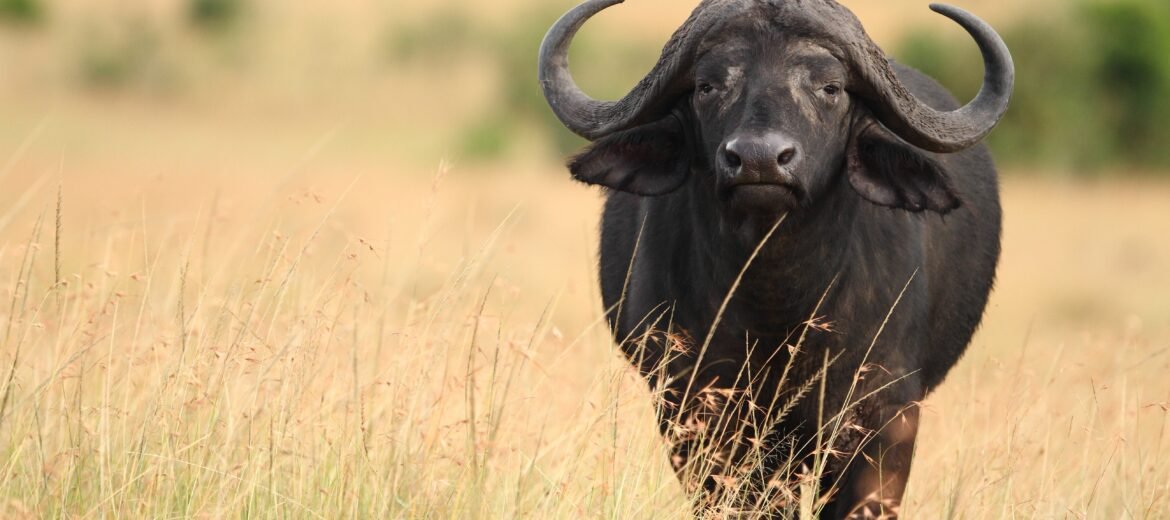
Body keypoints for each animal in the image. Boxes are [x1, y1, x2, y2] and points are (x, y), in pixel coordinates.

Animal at [538, 0, 1013, 518]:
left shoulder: (883, 415)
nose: (759, 159)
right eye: (708, 86)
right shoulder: (695, 410)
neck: (775, 302)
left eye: (830, 88)